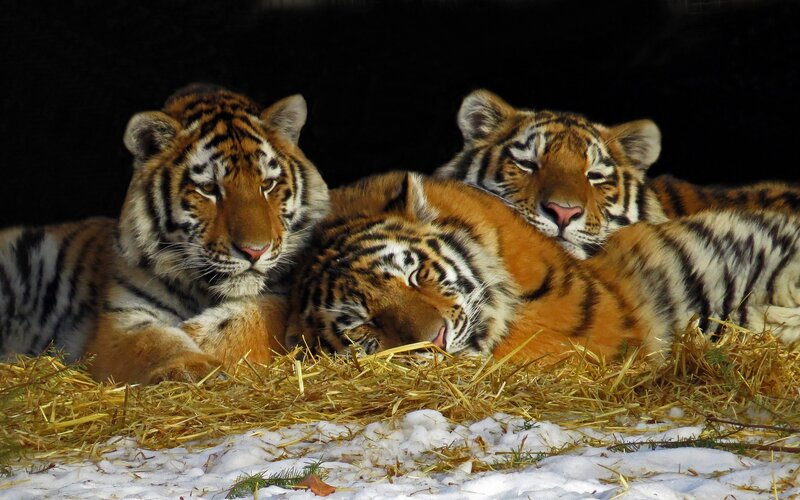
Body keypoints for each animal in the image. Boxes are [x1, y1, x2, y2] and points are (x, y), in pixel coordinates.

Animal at [0, 84, 329, 383]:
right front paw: (195, 368)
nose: (254, 251)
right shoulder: (122, 318)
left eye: (267, 185)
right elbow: (156, 342)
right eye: (208, 188)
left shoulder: (282, 294)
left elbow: (249, 321)